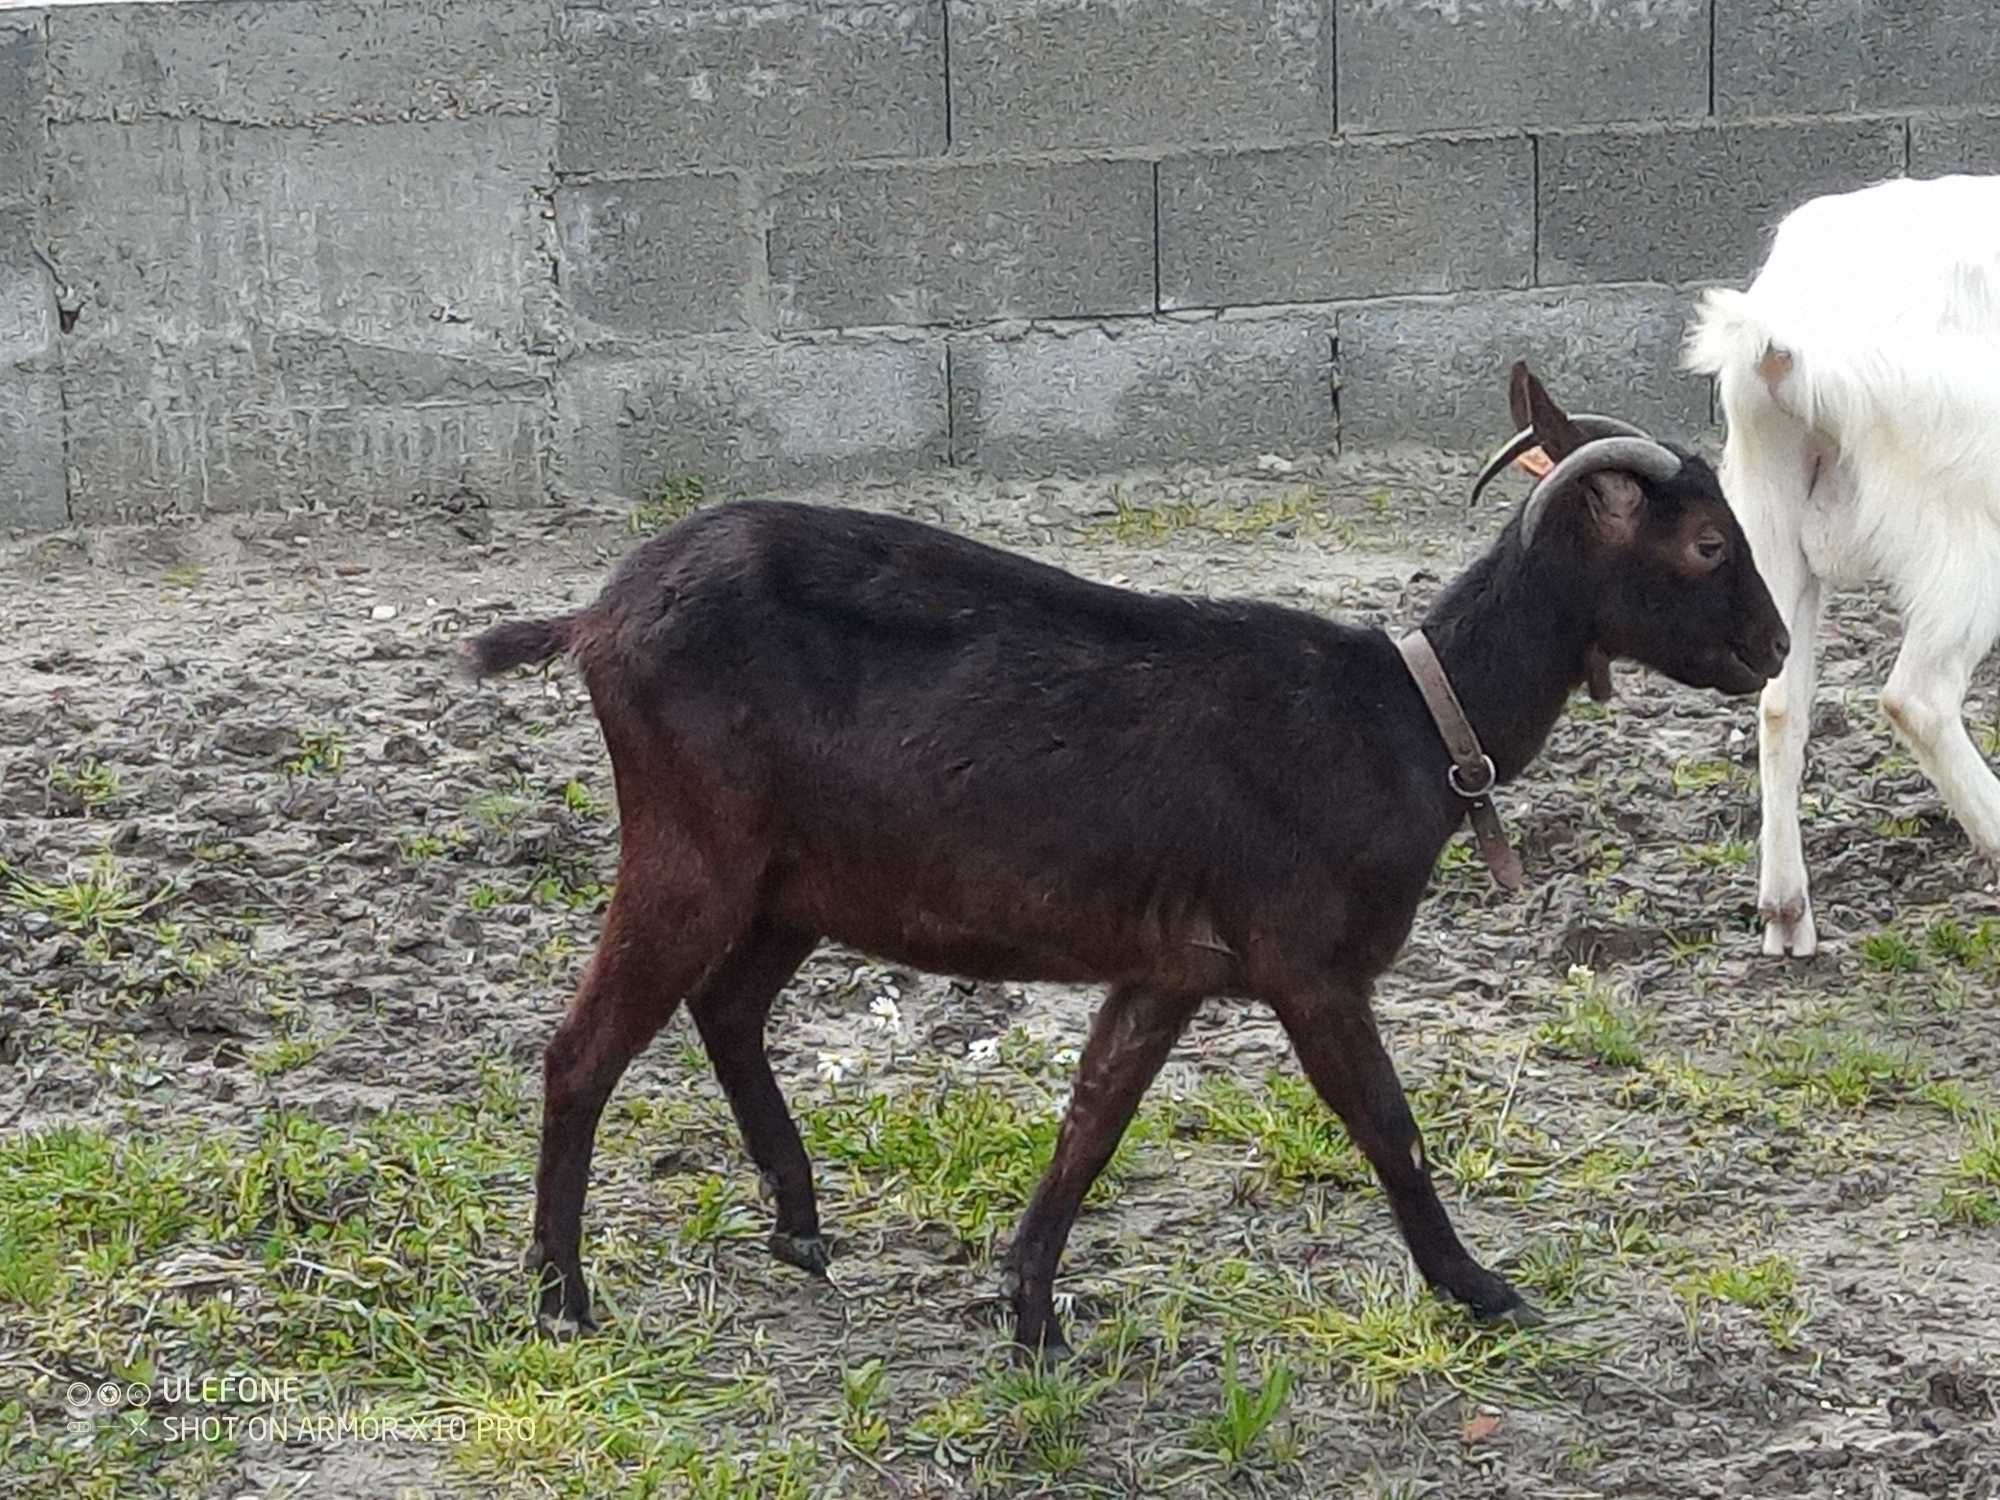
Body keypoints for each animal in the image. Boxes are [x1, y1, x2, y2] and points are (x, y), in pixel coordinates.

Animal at [460, 368, 1792, 1360]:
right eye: (1706, 542)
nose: (1775, 648)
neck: (1408, 718)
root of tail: (595, 619)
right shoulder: (1306, 965)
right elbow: (1386, 1126)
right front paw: (1483, 1291)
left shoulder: (1167, 968)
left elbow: (1091, 1119)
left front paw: (1031, 1312)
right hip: (688, 846)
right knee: (582, 1050)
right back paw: (562, 1299)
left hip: (798, 879)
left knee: (727, 1006)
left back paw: (796, 1224)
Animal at [1688, 173, 2000, 952]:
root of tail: (1785, 333)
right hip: (1968, 525)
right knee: (1916, 696)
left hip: (1764, 510)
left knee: (1778, 701)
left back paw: (1786, 913)